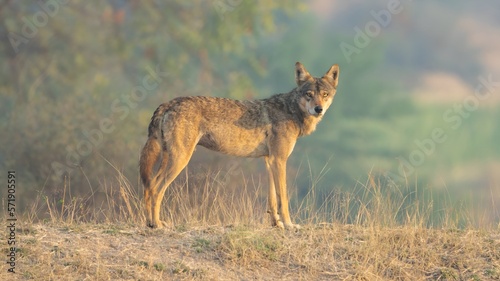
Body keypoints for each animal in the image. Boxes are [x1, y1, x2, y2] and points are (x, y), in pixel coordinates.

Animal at [140, 61, 340, 228]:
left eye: (324, 95)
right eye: (309, 95)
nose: (318, 109)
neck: (291, 110)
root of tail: (168, 103)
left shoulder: (269, 161)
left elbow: (272, 199)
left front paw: (276, 225)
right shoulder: (279, 160)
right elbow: (283, 198)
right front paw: (290, 225)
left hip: (170, 159)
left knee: (149, 186)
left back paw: (150, 223)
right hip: (180, 160)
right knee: (156, 189)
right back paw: (156, 224)